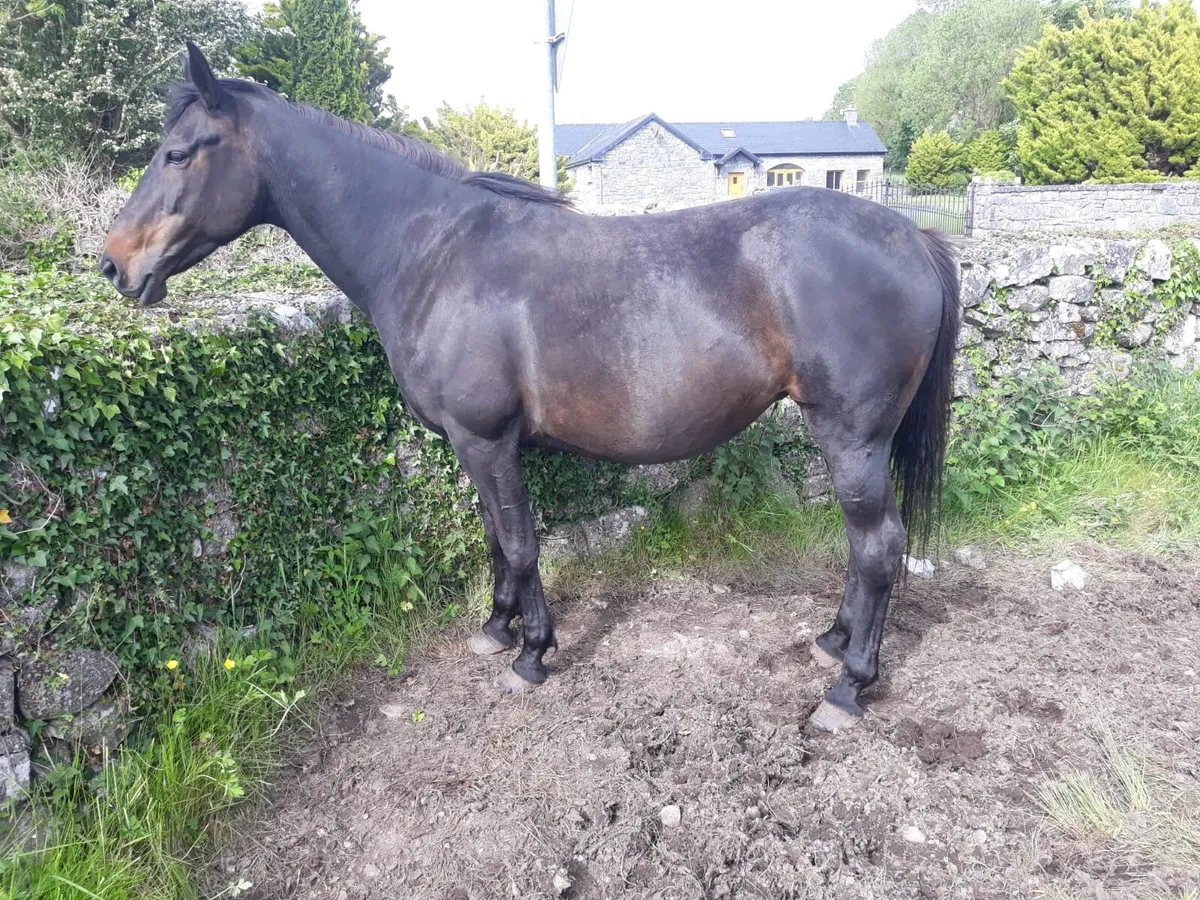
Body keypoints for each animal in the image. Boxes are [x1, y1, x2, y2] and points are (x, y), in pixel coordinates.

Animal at [101, 43, 960, 732]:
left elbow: (518, 540)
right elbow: (494, 537)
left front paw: (533, 654)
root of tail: (910, 233)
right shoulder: (476, 444)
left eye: (179, 153)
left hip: (851, 437)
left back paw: (848, 688)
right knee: (863, 547)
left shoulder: (486, 438)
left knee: (879, 545)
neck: (431, 251)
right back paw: (832, 641)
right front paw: (496, 627)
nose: (113, 264)